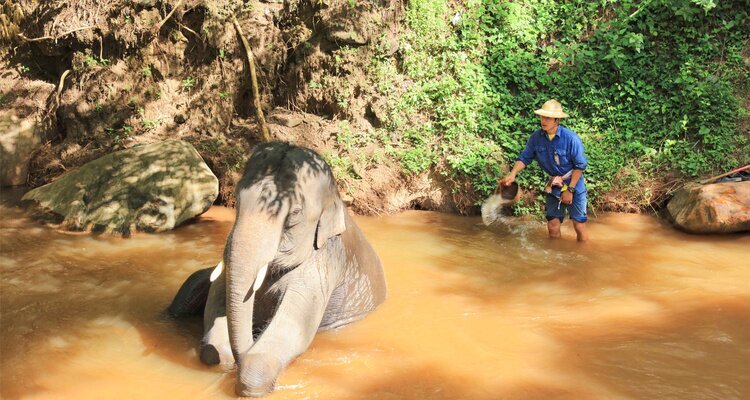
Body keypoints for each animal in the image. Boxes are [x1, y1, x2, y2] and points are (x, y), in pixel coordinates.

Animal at [169, 142, 387, 397]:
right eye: (237, 200)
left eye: (294, 213)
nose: (247, 346)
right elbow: (219, 294)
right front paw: (223, 354)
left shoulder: (324, 263)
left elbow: (294, 327)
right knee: (192, 283)